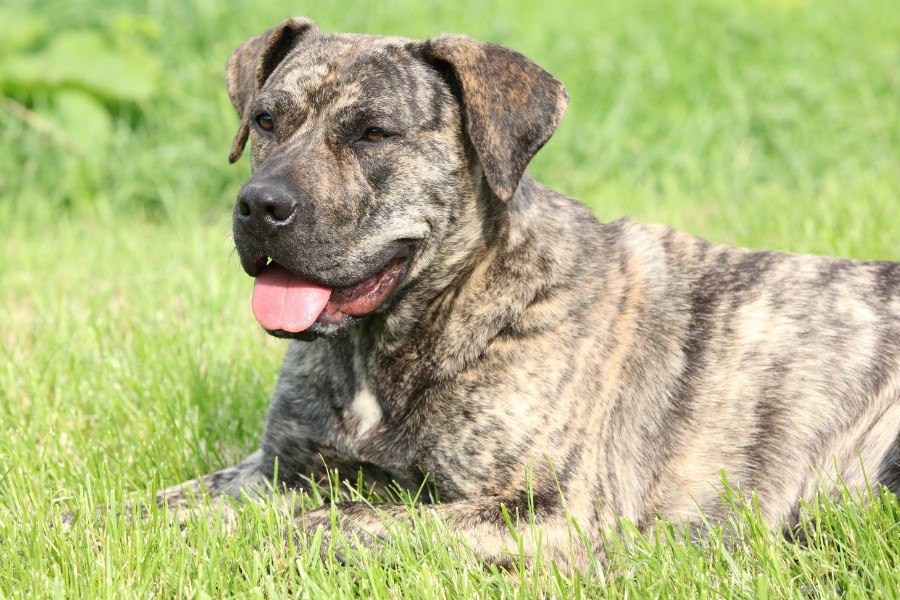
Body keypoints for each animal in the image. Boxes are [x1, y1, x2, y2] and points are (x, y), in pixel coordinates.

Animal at [156, 17, 900, 572]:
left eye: (374, 133)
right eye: (264, 121)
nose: (260, 205)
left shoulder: (552, 511)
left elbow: (342, 521)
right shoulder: (277, 469)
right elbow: (159, 507)